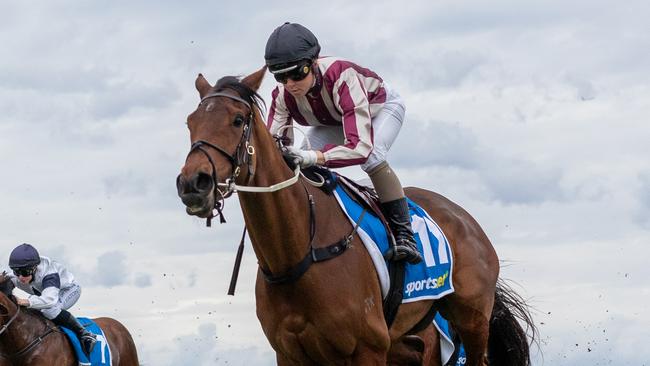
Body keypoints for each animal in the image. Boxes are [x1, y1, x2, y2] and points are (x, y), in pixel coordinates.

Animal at [175, 68, 536, 366]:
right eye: (190, 122)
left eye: (237, 120)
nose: (193, 183)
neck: (298, 251)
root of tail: (465, 219)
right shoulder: (290, 354)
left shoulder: (368, 348)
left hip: (472, 321)